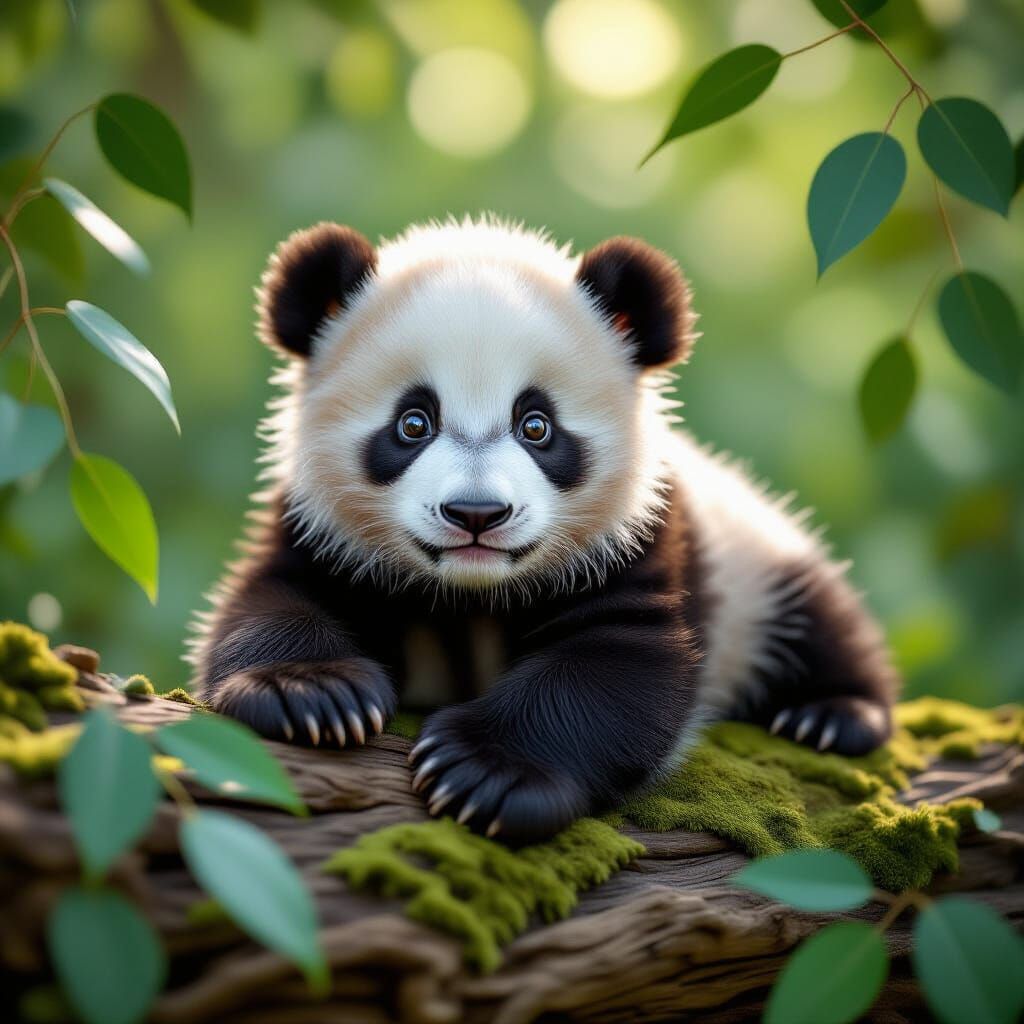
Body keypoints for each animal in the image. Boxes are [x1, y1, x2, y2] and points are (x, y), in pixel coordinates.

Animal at [191, 216, 896, 844]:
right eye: (413, 423)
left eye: (537, 425)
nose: (476, 514)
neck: (469, 594)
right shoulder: (320, 531)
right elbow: (272, 601)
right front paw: (309, 694)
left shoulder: (638, 538)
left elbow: (614, 667)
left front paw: (488, 774)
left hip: (756, 555)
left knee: (817, 615)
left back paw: (828, 716)